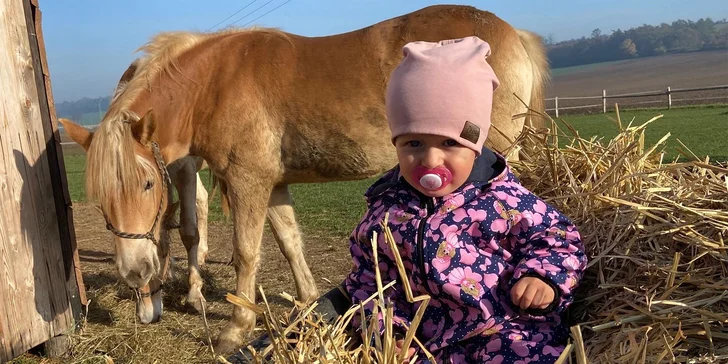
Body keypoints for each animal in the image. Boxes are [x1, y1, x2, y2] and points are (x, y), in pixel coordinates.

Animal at [61, 4, 544, 354]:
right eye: (100, 200)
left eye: (147, 185)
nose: (135, 272)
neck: (213, 83)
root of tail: (512, 32)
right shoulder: (273, 185)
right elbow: (290, 243)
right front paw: (310, 309)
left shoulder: (248, 183)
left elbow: (247, 254)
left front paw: (236, 328)